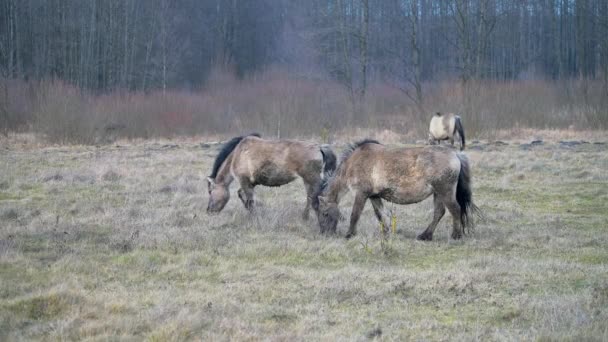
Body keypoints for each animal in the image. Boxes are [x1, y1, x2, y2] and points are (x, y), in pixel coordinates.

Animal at [208, 133, 338, 219]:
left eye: (210, 192)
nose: (209, 210)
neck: (238, 154)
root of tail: (319, 147)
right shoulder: (250, 183)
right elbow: (242, 195)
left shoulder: (244, 180)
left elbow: (249, 199)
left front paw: (253, 215)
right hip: (308, 180)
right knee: (310, 197)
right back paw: (305, 216)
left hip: (311, 178)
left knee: (314, 197)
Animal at [314, 139, 480, 240]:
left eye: (325, 213)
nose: (324, 233)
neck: (353, 163)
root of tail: (455, 154)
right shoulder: (374, 196)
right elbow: (381, 215)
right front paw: (387, 233)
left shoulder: (361, 194)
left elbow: (355, 214)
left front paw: (349, 234)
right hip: (438, 193)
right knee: (439, 212)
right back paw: (425, 236)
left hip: (445, 192)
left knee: (455, 210)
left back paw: (455, 235)